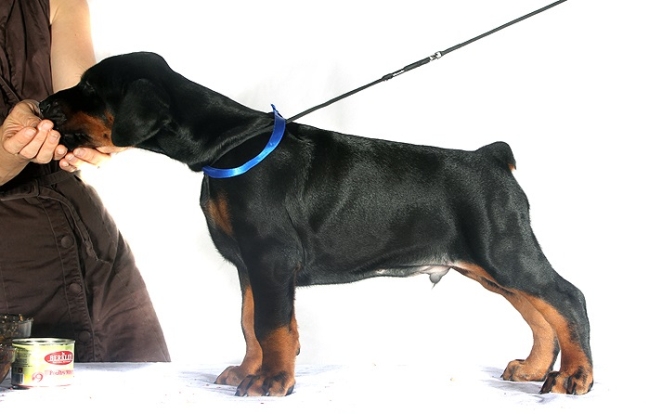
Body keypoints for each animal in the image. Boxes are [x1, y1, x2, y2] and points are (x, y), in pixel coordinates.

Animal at [40, 52, 593, 396]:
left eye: (88, 87)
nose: (42, 103)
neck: (227, 146)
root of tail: (491, 158)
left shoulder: (270, 256)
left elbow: (272, 323)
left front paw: (272, 383)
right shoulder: (248, 265)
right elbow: (250, 324)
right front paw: (248, 371)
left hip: (503, 248)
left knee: (566, 298)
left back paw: (574, 378)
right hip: (486, 265)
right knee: (538, 311)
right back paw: (535, 368)